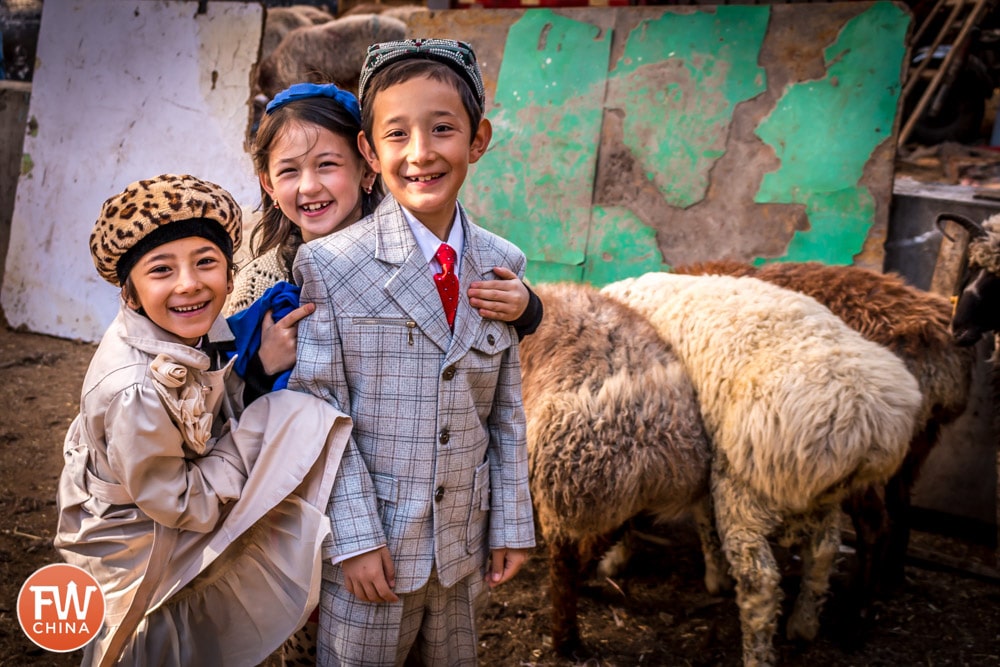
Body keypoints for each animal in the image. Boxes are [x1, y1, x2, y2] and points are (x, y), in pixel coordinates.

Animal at [600, 272, 920, 667]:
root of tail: (858, 416)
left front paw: (615, 560)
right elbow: (702, 516)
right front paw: (715, 574)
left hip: (746, 491)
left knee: (761, 583)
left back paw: (758, 652)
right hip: (815, 495)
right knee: (824, 551)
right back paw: (804, 624)